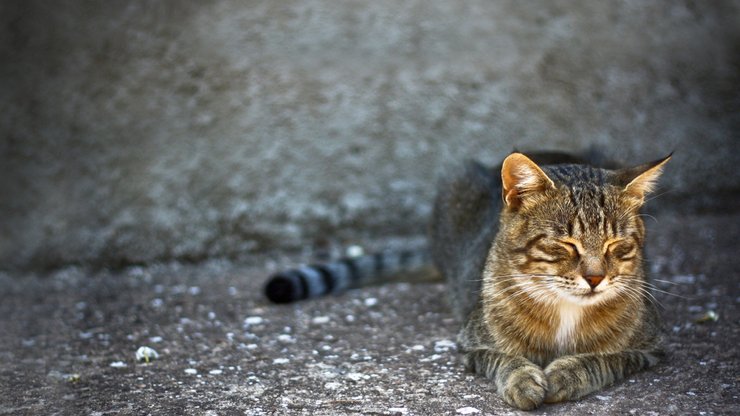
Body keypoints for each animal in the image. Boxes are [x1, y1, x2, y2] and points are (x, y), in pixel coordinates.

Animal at [264, 150, 672, 410]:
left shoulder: (649, 347)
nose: (595, 278)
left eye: (617, 245)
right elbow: (504, 360)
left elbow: (601, 360)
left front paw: (566, 373)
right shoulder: (470, 345)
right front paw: (523, 380)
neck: (565, 312)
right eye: (565, 244)